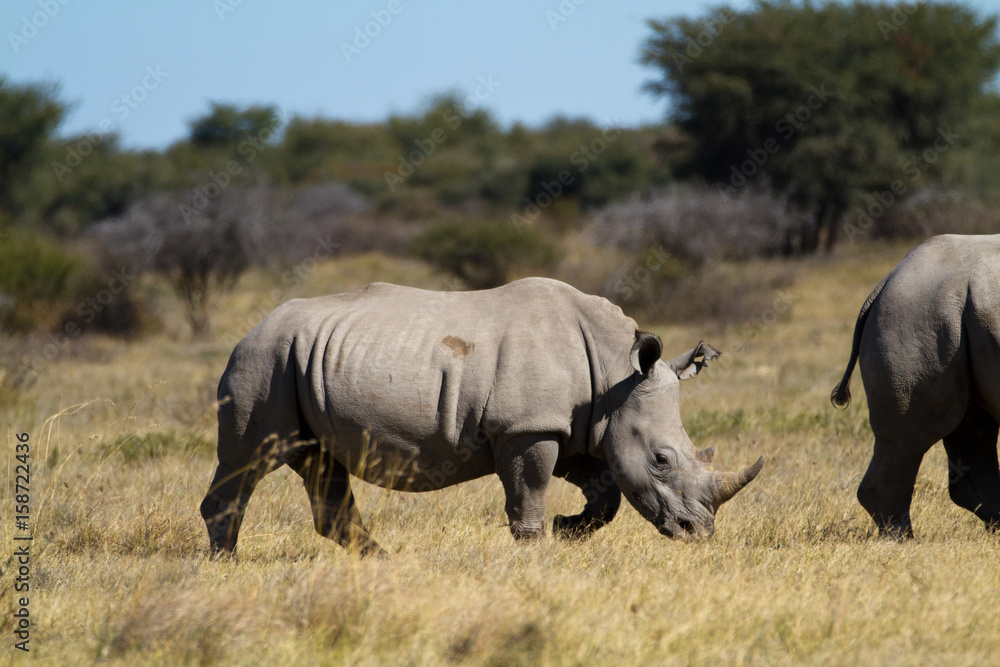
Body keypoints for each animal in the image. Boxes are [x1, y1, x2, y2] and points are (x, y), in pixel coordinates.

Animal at [201, 277, 764, 556]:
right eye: (662, 460)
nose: (698, 534)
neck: (614, 371)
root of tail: (248, 331)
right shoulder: (527, 428)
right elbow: (528, 495)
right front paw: (537, 552)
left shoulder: (572, 426)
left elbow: (604, 495)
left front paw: (567, 529)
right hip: (265, 361)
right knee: (250, 458)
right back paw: (226, 566)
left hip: (297, 360)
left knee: (320, 464)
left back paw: (382, 563)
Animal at [832, 234, 1000, 538]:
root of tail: (885, 283)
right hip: (917, 315)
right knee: (913, 436)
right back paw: (902, 540)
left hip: (949, 317)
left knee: (973, 427)